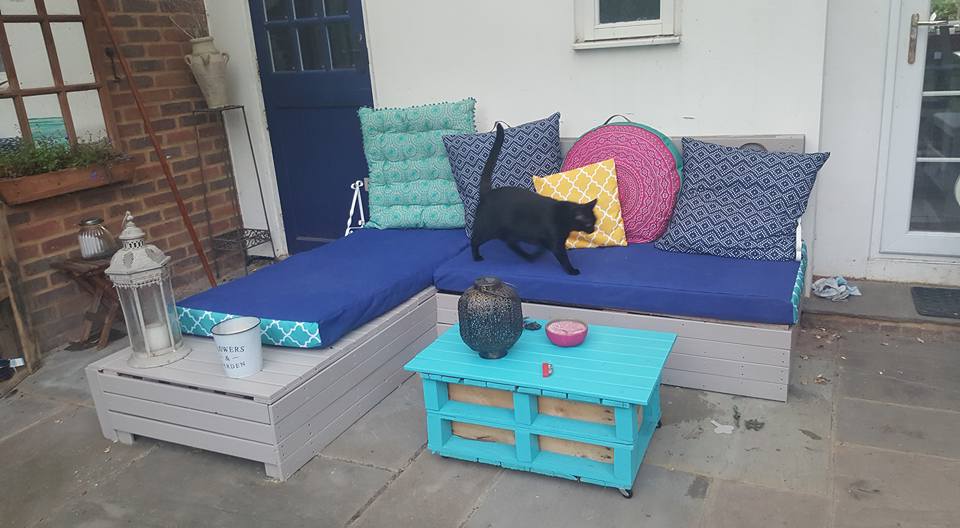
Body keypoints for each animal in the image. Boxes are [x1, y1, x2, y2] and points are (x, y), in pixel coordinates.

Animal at [470, 123, 597, 275]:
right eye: (589, 223)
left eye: (595, 222)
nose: (593, 229)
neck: (563, 216)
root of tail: (488, 192)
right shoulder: (556, 243)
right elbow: (563, 258)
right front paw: (572, 271)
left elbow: (542, 246)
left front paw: (538, 251)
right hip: (489, 229)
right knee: (475, 240)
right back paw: (477, 257)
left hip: (511, 232)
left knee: (510, 243)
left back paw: (528, 256)